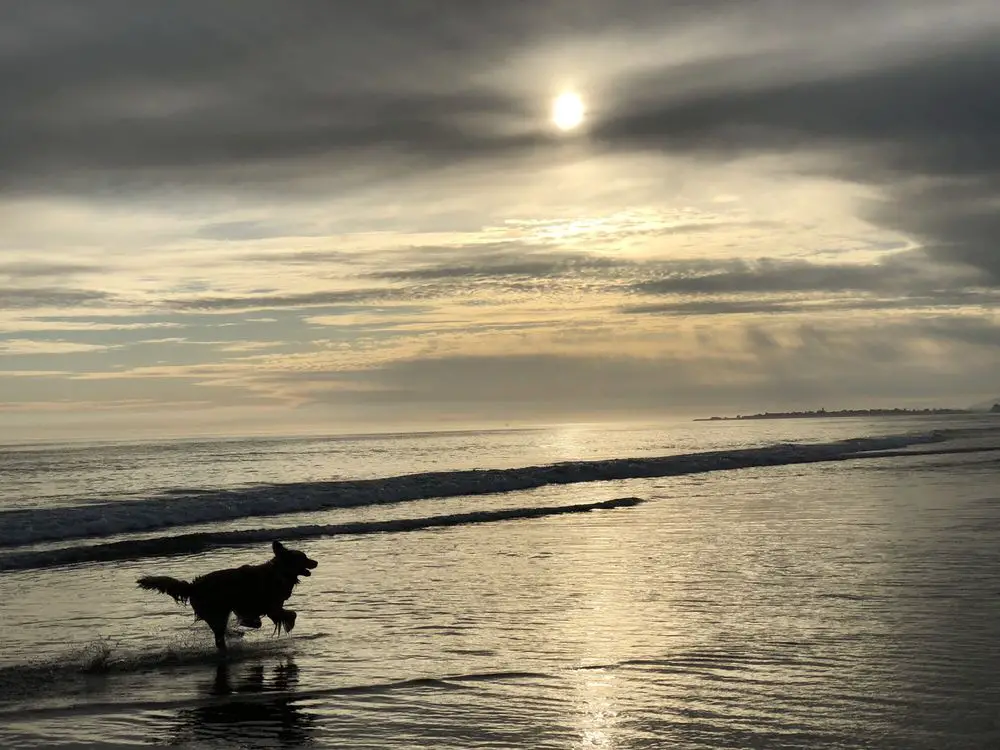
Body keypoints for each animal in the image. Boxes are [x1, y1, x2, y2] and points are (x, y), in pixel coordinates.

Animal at [137, 540, 316, 652]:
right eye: (304, 558)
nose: (316, 562)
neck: (280, 571)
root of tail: (193, 586)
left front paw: (248, 623)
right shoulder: (272, 607)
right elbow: (291, 614)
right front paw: (289, 624)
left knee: (219, 634)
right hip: (216, 611)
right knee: (219, 636)